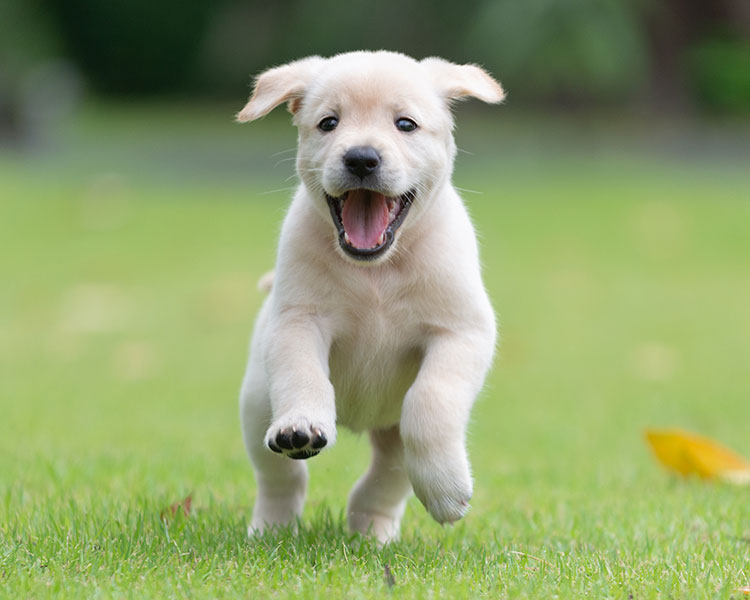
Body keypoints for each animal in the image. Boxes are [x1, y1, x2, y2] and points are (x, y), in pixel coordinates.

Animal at [236, 49, 506, 540]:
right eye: (329, 123)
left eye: (405, 124)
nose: (362, 158)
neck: (375, 274)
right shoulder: (297, 321)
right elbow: (303, 375)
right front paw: (301, 424)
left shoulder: (461, 331)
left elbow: (429, 400)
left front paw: (447, 490)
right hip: (256, 403)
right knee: (279, 475)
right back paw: (273, 526)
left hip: (391, 433)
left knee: (389, 475)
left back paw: (373, 528)